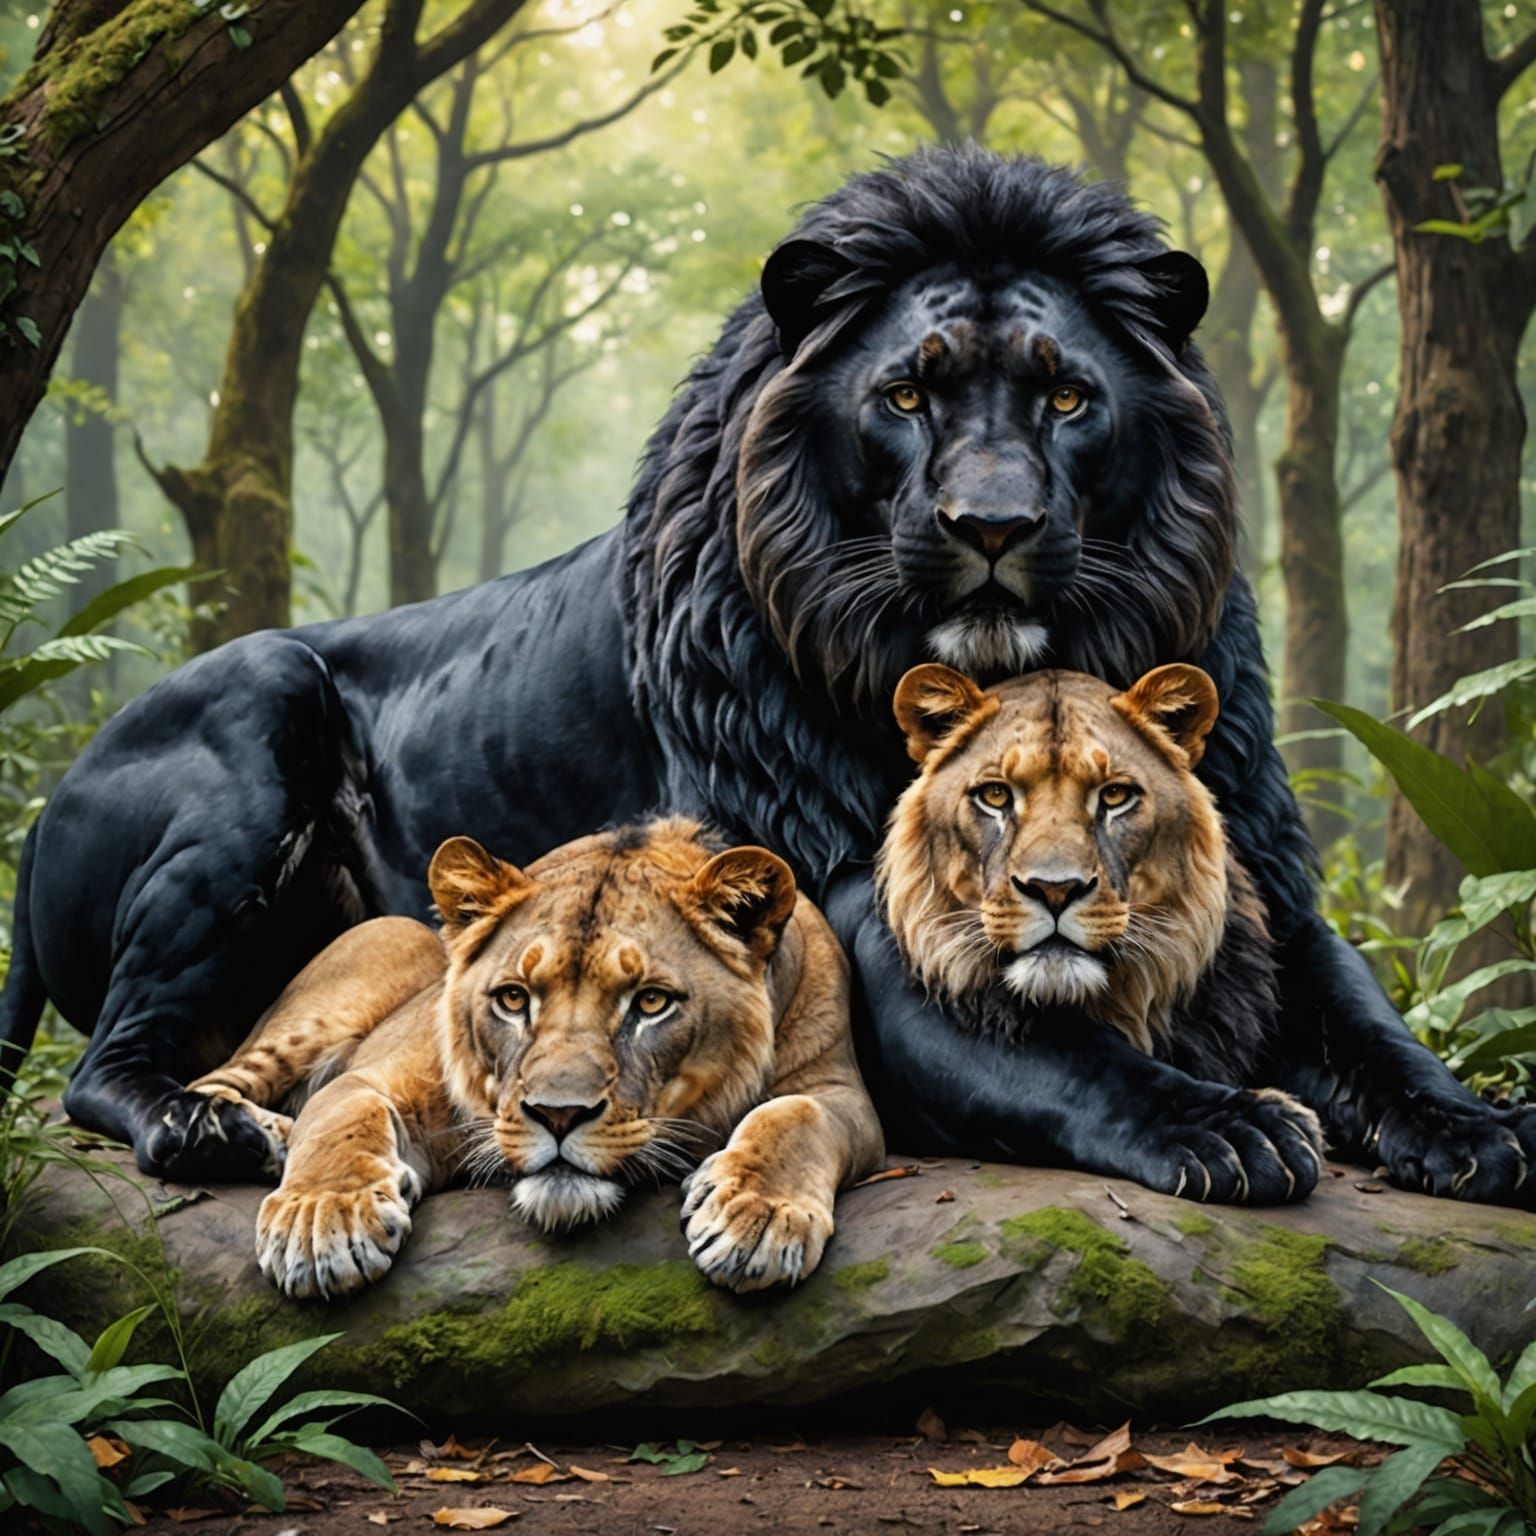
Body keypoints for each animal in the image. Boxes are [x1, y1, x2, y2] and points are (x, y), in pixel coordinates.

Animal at [188, 820, 884, 1300]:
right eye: (514, 998)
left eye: (651, 1001)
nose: (558, 1115)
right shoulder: (376, 1076)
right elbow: (342, 1120)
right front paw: (319, 1225)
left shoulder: (840, 1091)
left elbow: (795, 1117)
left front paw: (757, 1217)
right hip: (371, 955)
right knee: (212, 1084)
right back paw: (229, 1135)